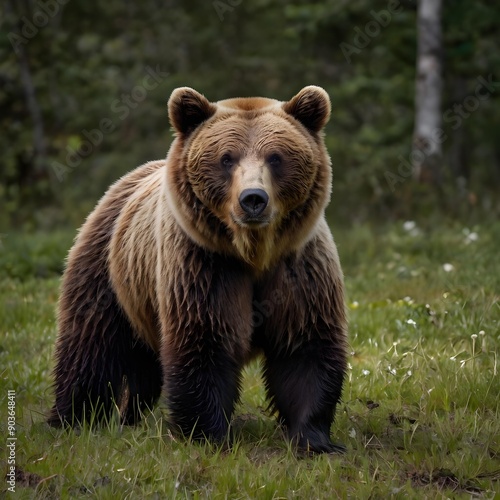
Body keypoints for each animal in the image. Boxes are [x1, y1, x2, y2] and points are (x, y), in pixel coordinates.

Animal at [50, 85, 348, 454]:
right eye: (227, 158)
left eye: (276, 157)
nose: (253, 199)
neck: (253, 252)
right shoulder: (204, 265)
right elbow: (203, 340)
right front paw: (208, 435)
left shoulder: (297, 267)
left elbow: (305, 346)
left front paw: (315, 439)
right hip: (108, 268)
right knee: (91, 344)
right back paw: (72, 419)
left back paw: (130, 416)